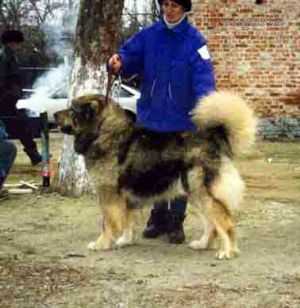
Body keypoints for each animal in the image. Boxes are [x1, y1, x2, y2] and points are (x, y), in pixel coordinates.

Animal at [55, 91, 255, 260]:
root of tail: (213, 138)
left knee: (225, 222)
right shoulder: (126, 197)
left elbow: (107, 222)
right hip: (195, 194)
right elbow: (127, 220)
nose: (55, 115)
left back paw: (227, 251)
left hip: (202, 193)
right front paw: (125, 240)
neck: (104, 132)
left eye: (72, 110)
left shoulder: (108, 193)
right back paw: (202, 244)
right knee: (211, 223)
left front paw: (101, 244)